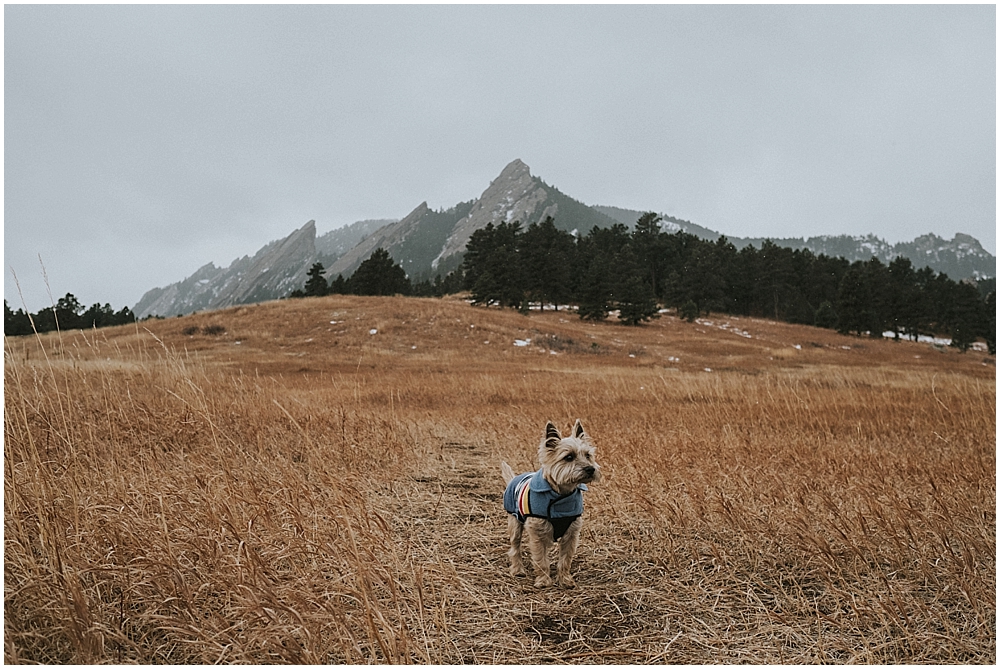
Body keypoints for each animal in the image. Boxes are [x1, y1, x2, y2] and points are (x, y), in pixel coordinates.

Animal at [504, 420, 596, 588]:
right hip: (515, 523)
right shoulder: (537, 533)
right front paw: (543, 581)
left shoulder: (572, 533)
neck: (561, 495)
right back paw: (518, 570)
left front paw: (565, 580)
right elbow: (541, 559)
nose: (591, 469)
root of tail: (514, 478)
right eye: (569, 457)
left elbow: (565, 560)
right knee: (515, 547)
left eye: (588, 455)